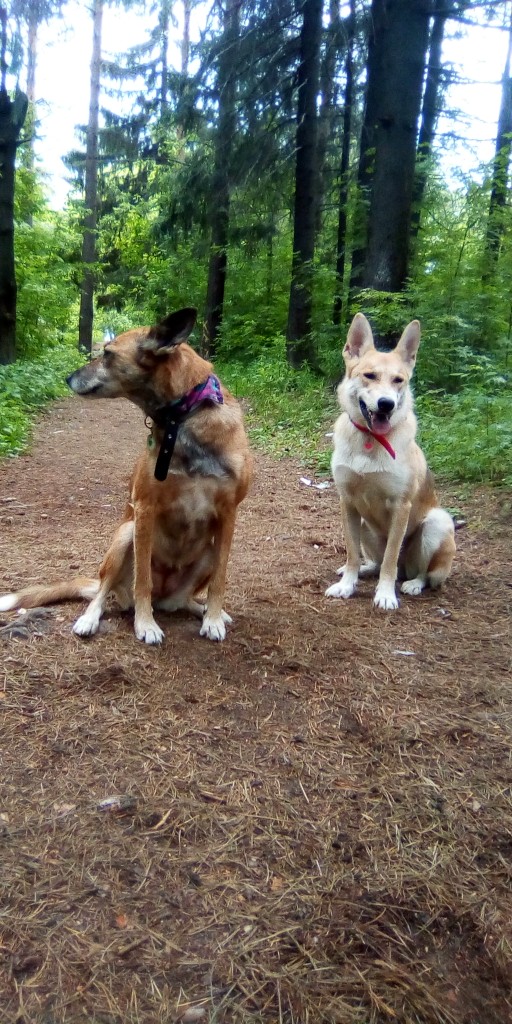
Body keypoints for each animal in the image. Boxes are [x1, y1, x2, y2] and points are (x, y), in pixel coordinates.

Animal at [0, 305, 252, 638]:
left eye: (107, 354)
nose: (67, 378)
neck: (182, 419)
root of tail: (164, 597)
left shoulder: (228, 514)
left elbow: (220, 580)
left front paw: (212, 618)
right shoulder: (145, 508)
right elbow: (142, 578)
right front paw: (145, 625)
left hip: (207, 552)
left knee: (182, 600)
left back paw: (205, 611)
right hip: (125, 534)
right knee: (103, 591)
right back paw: (90, 618)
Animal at [325, 313, 454, 606]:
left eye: (398, 380)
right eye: (369, 375)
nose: (386, 404)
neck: (370, 441)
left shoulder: (400, 506)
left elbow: (390, 560)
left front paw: (385, 594)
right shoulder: (348, 502)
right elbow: (352, 553)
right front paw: (347, 585)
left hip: (437, 523)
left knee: (420, 573)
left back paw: (413, 584)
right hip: (364, 524)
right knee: (374, 561)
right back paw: (362, 570)